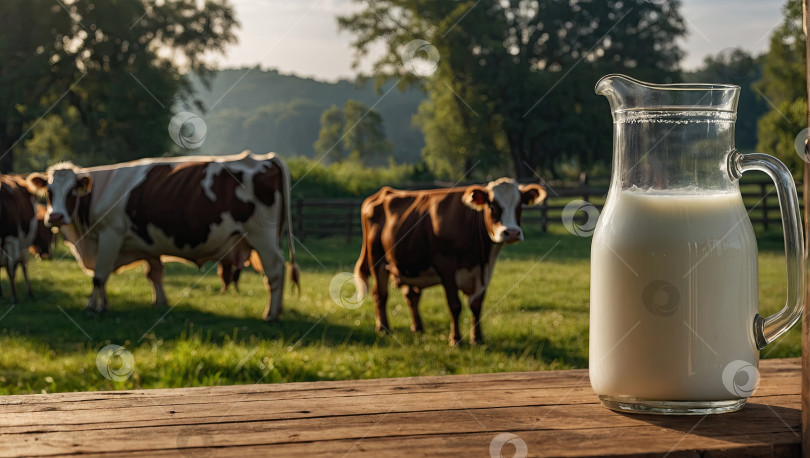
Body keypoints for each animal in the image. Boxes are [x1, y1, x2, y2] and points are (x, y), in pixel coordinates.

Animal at [28, 152, 302, 320]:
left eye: (72, 192)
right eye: (49, 191)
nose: (55, 217)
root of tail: (266, 158)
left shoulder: (110, 234)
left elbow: (99, 276)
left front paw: (93, 307)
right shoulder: (147, 245)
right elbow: (154, 274)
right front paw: (158, 302)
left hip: (262, 236)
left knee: (275, 270)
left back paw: (271, 314)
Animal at [352, 178, 548, 344]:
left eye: (519, 205)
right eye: (492, 206)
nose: (512, 232)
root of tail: (381, 193)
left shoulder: (483, 271)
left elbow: (476, 305)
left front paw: (477, 339)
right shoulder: (446, 265)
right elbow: (455, 305)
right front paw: (456, 339)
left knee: (411, 296)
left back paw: (418, 328)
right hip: (376, 259)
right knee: (380, 294)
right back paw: (383, 329)